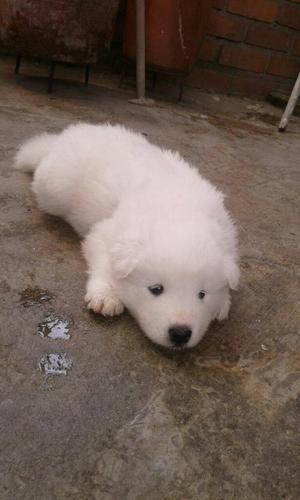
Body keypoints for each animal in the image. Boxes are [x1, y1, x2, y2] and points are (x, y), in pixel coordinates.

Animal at [13, 122, 239, 348]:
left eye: (202, 294)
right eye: (156, 289)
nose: (180, 333)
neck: (180, 212)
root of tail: (65, 136)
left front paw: (223, 302)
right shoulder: (104, 233)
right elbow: (104, 261)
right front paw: (106, 296)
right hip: (54, 188)